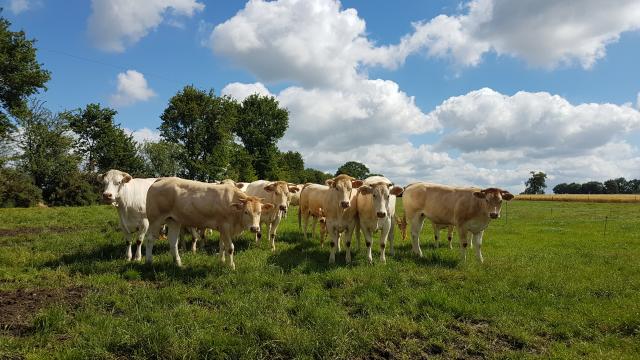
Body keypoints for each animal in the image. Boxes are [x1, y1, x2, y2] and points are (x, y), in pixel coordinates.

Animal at [144, 178, 274, 270]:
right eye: (246, 212)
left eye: (260, 212)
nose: (255, 228)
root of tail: (161, 179)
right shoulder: (225, 227)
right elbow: (230, 248)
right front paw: (231, 266)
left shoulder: (224, 229)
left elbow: (222, 246)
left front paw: (222, 261)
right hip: (156, 219)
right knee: (150, 239)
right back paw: (149, 262)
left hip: (173, 220)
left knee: (173, 242)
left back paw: (178, 263)